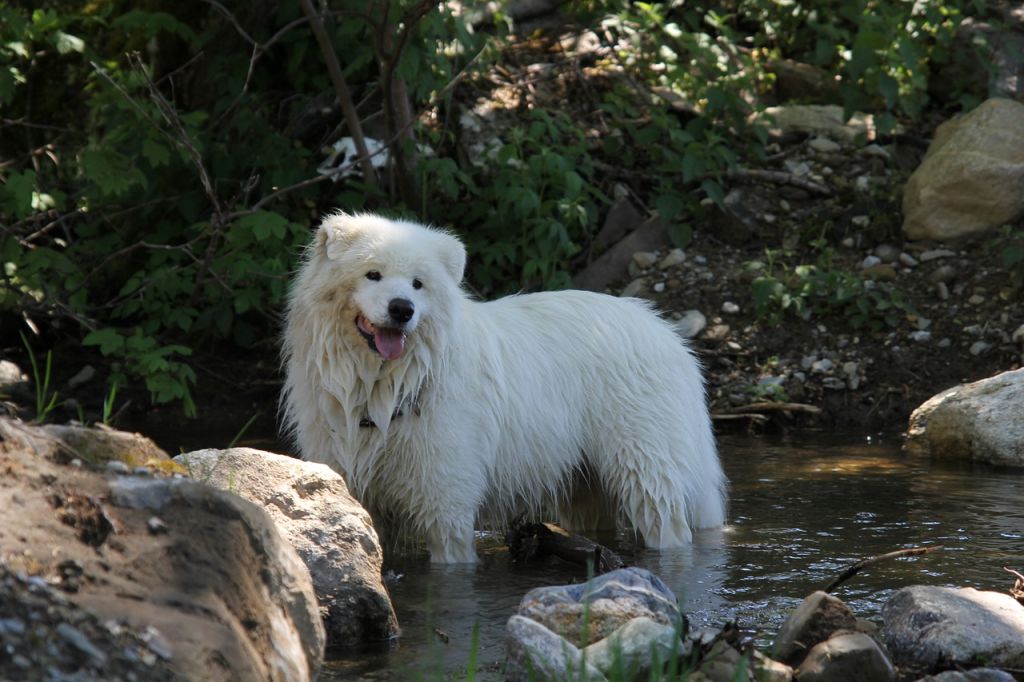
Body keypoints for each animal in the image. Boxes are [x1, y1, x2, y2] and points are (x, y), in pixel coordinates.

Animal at [282, 214, 729, 561]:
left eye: (418, 284)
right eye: (372, 274)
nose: (401, 309)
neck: (383, 384)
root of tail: (669, 337)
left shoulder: (446, 500)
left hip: (645, 465)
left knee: (668, 522)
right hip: (586, 483)